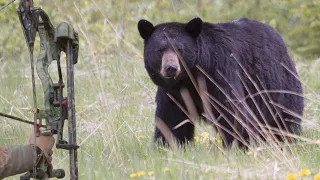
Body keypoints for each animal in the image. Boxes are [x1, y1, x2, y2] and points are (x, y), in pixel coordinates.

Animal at [136, 16, 304, 147]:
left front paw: (236, 145)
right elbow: (171, 118)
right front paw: (168, 145)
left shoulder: (220, 71)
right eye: (160, 50)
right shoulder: (174, 92)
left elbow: (231, 110)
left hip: (277, 84)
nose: (170, 68)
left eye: (179, 49)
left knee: (284, 117)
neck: (191, 77)